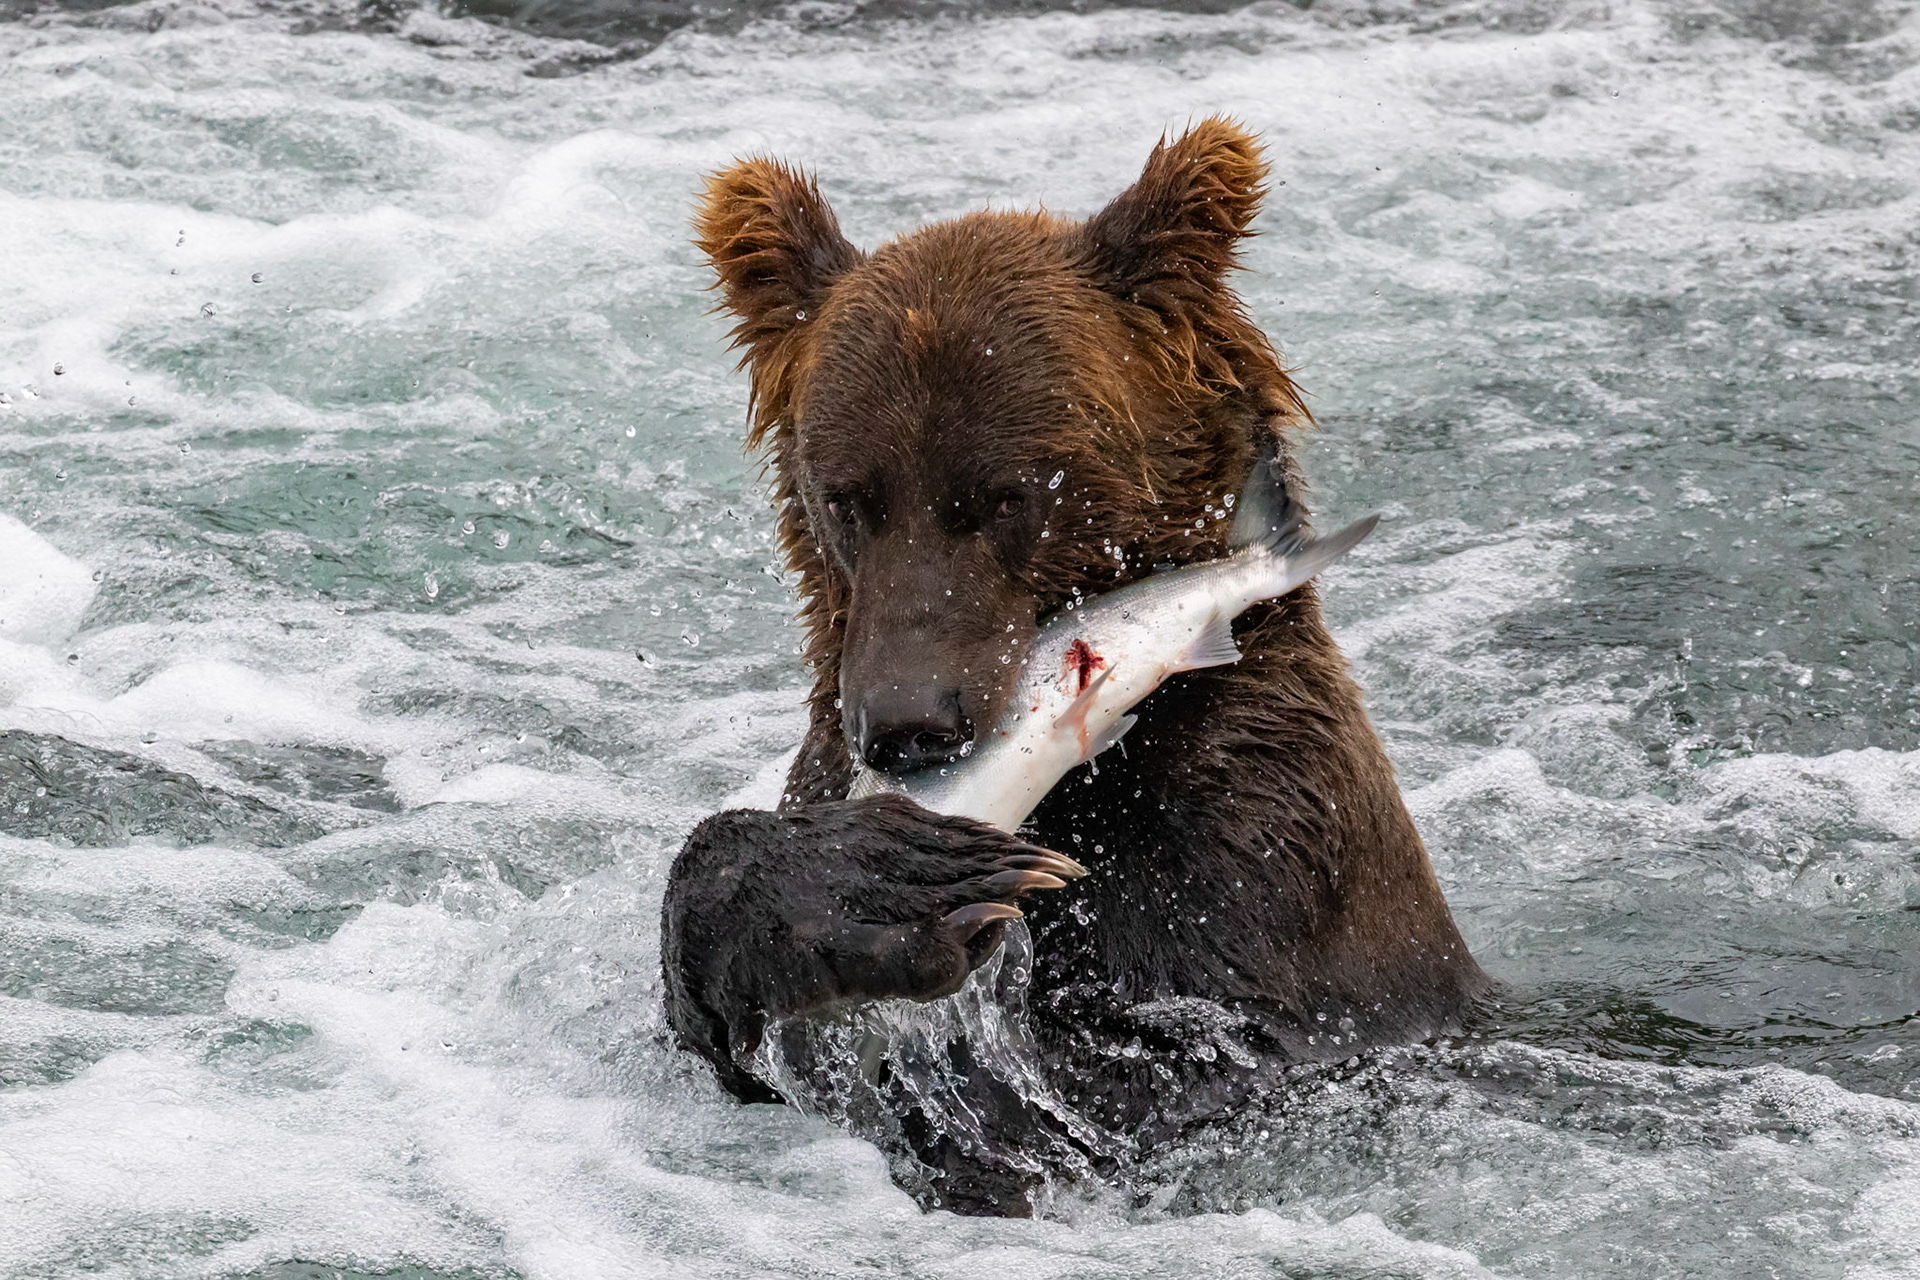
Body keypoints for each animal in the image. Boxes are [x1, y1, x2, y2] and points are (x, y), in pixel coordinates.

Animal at [661, 117, 1487, 1215]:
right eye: (849, 495)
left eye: (1007, 493)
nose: (907, 721)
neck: (1090, 789)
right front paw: (877, 880)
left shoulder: (1260, 849)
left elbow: (1162, 1067)